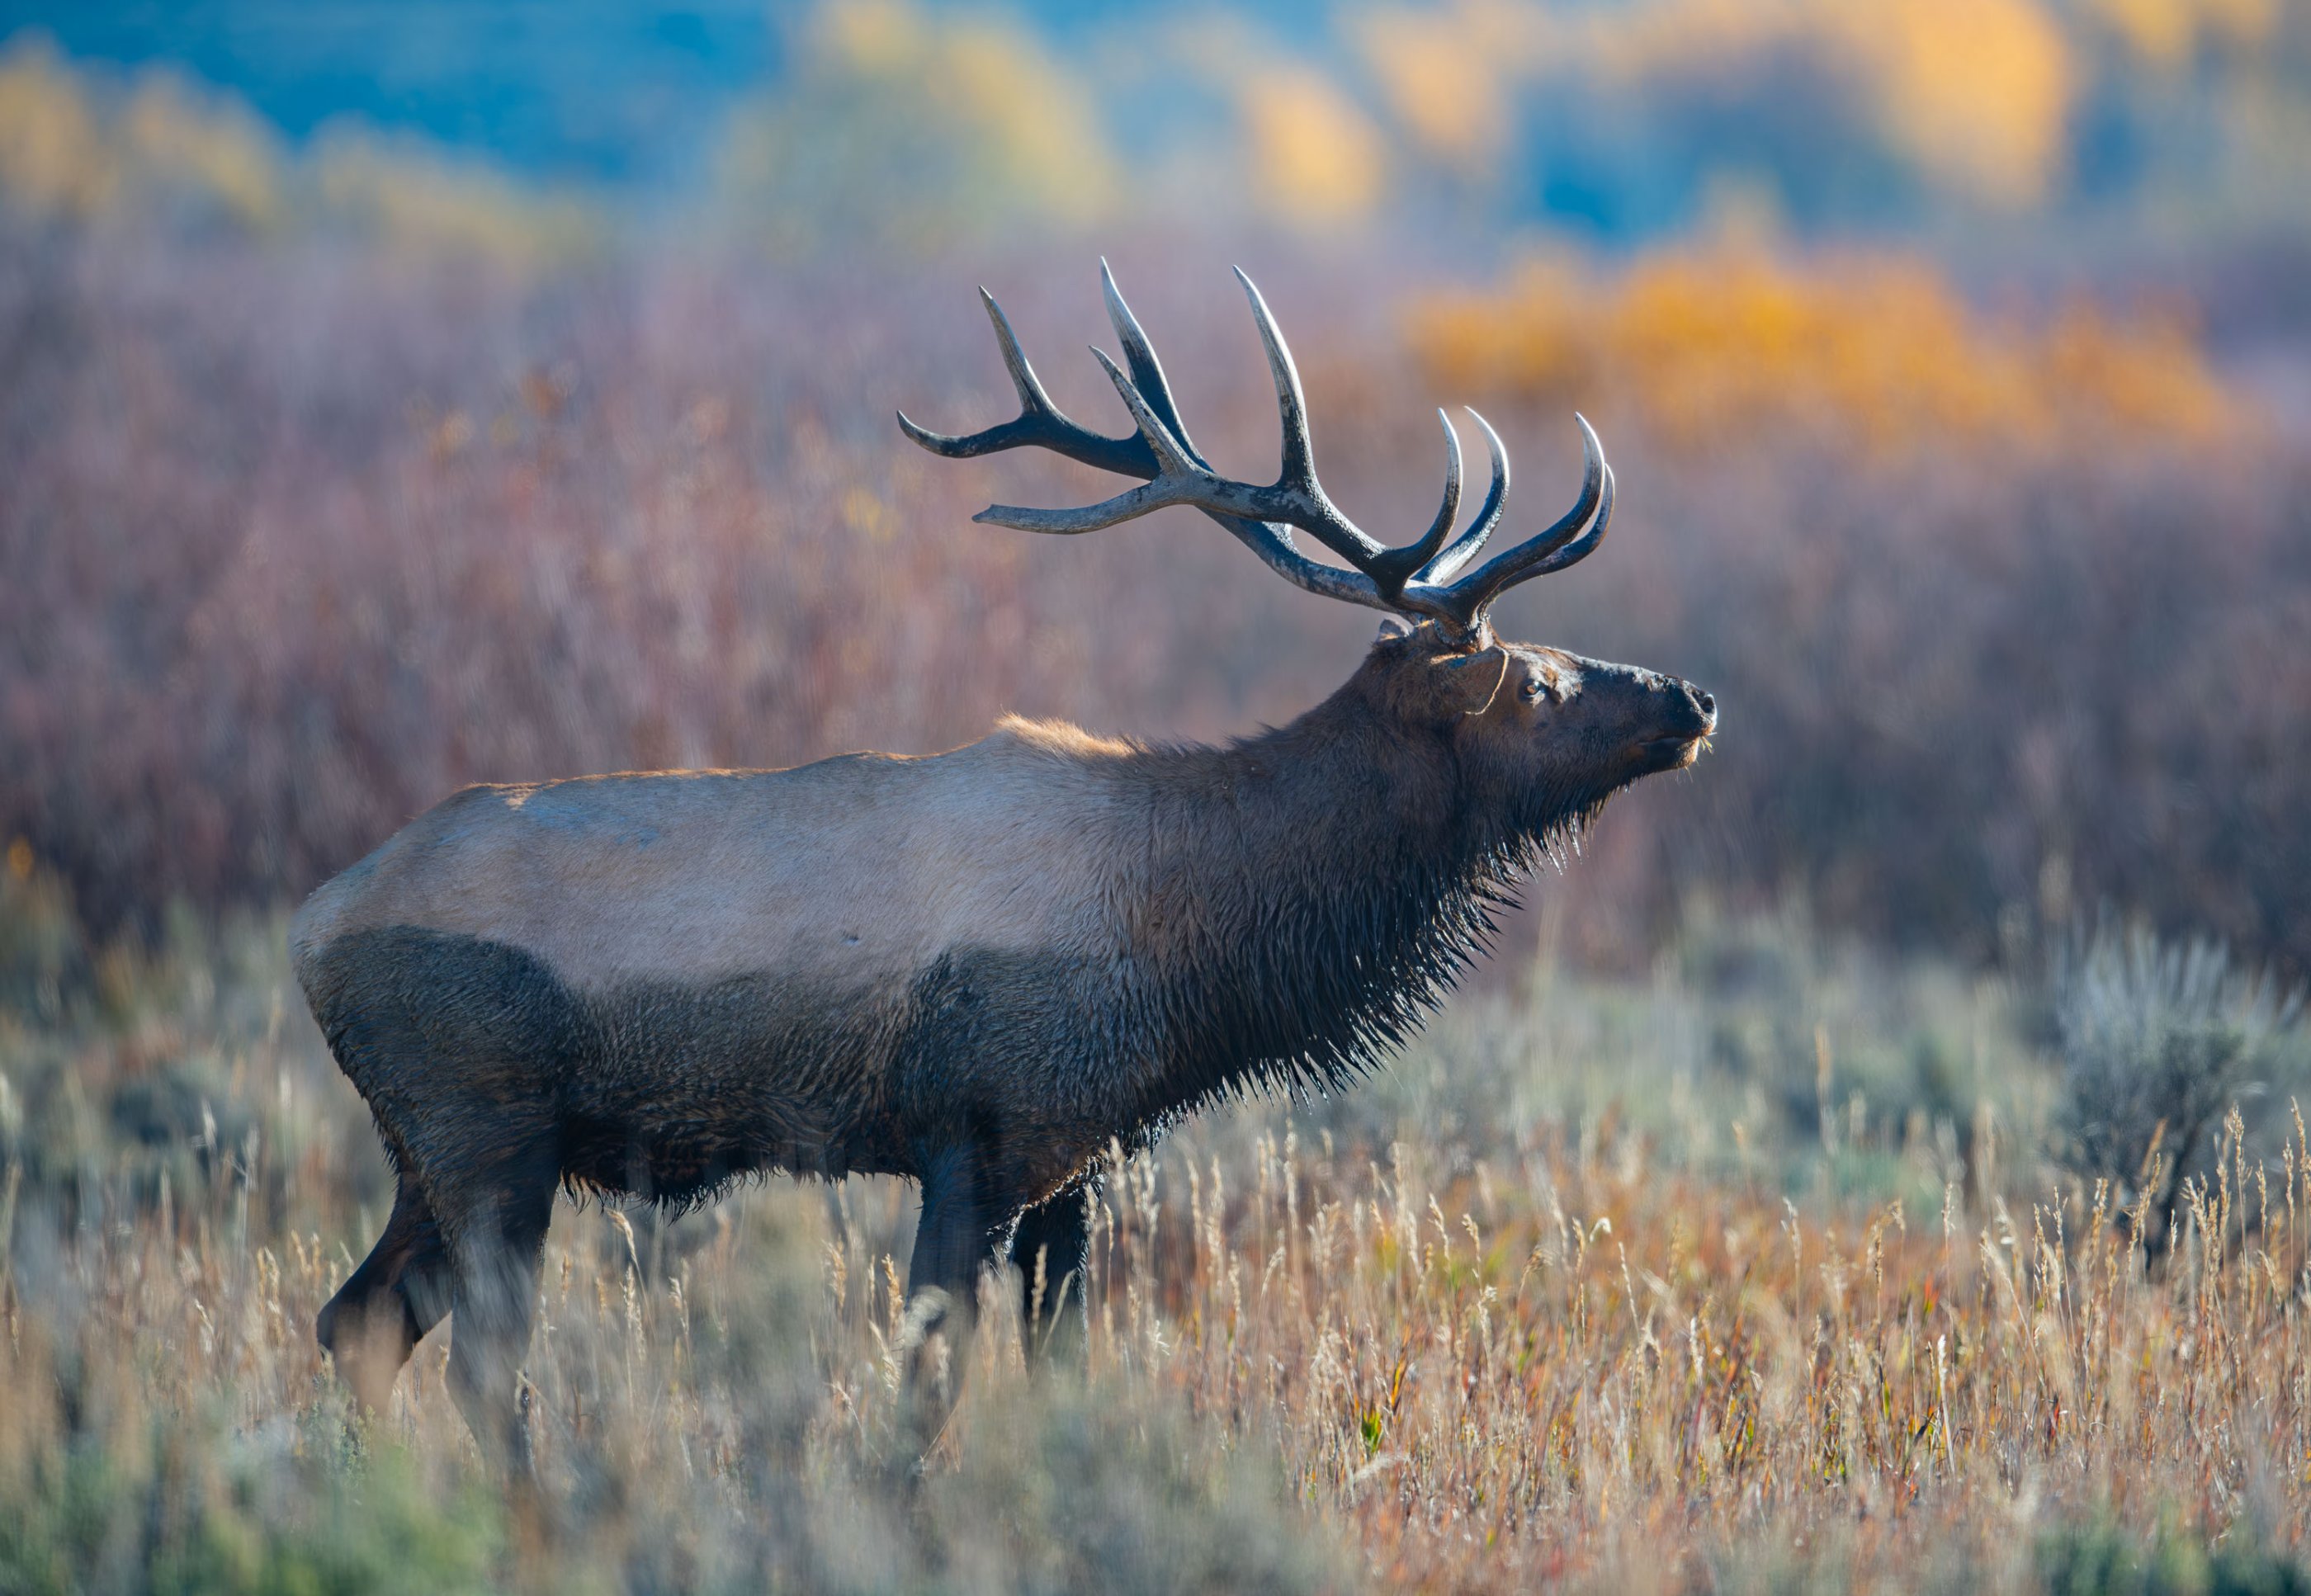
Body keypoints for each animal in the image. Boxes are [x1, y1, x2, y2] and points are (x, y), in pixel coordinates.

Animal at [293, 265, 1719, 1469]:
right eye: (1534, 682)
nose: (1693, 696)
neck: (1193, 929)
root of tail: (311, 925)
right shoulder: (972, 1129)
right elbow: (926, 1378)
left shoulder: (1072, 1158)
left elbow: (1060, 1367)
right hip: (484, 1123)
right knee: (477, 1360)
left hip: (434, 1146)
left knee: (355, 1319)